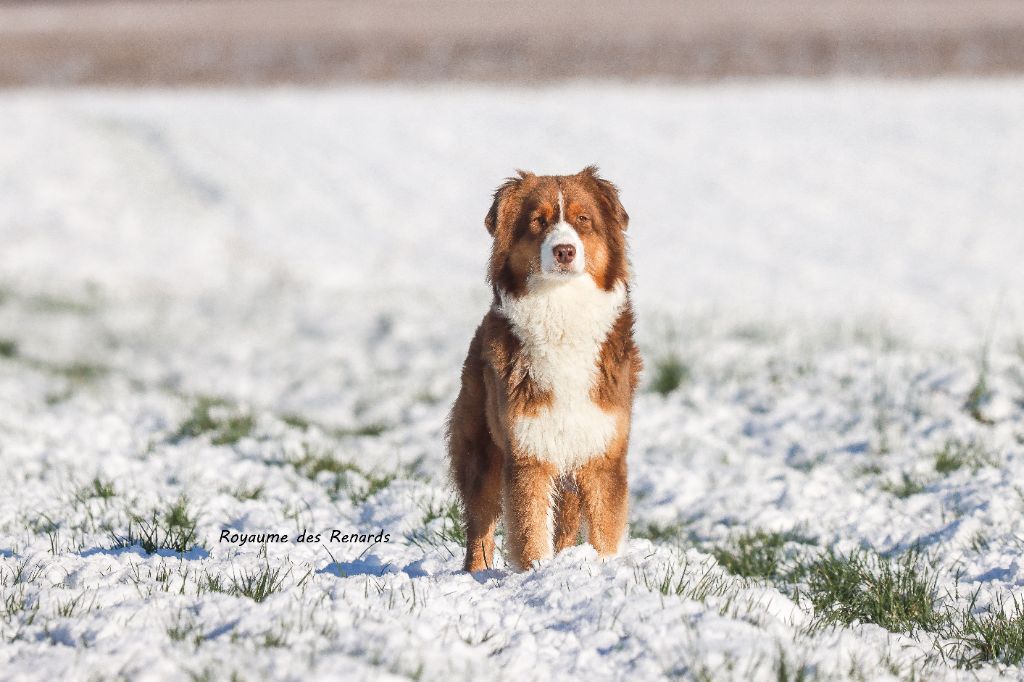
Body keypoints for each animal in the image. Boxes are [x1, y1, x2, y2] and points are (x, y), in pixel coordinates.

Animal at [448, 166, 638, 569]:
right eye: (538, 221)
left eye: (583, 219)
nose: (564, 250)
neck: (562, 311)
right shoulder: (528, 453)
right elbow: (531, 533)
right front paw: (538, 573)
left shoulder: (603, 453)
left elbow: (604, 534)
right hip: (481, 450)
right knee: (480, 527)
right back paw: (475, 574)